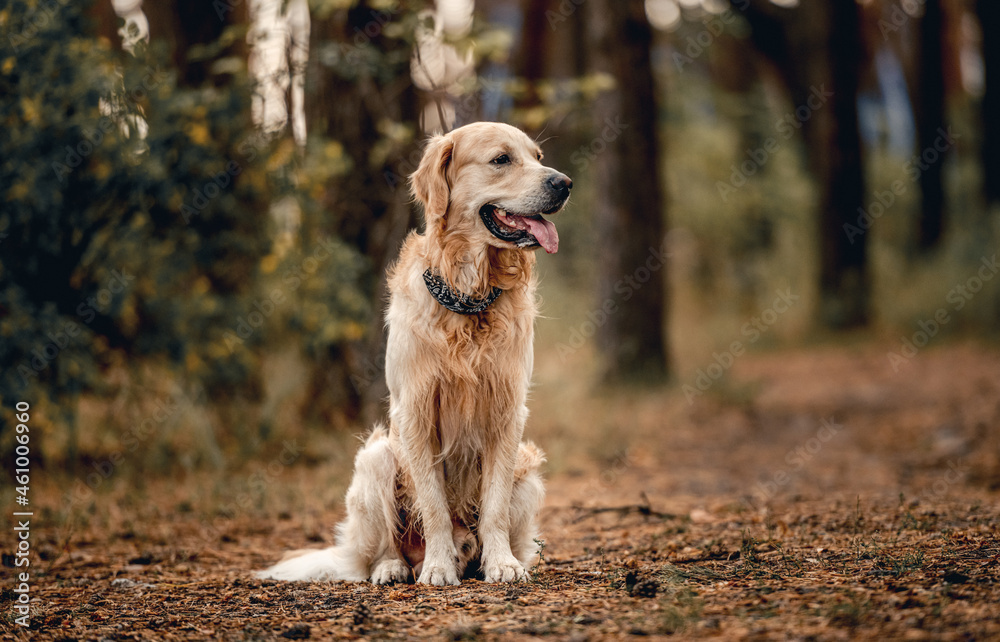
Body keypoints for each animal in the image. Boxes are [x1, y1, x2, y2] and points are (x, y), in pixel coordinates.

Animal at [254, 121, 576, 584]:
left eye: (537, 157)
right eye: (501, 159)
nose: (564, 183)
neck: (467, 296)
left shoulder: (507, 411)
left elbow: (493, 506)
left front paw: (502, 564)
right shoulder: (416, 411)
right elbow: (435, 505)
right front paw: (439, 568)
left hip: (528, 470)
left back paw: (472, 556)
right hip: (376, 458)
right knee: (381, 550)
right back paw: (399, 566)